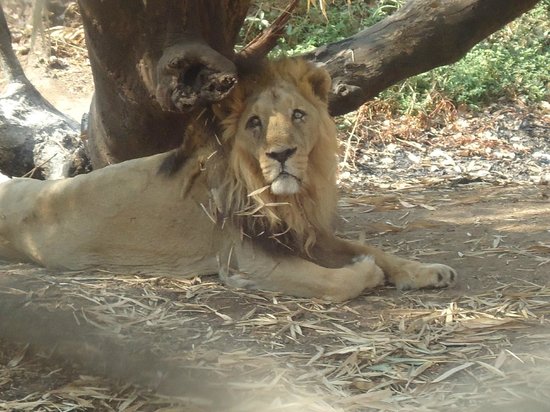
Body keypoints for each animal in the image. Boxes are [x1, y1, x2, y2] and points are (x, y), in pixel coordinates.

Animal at [0, 58, 458, 300]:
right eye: (255, 123)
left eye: (298, 115)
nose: (281, 154)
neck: (290, 197)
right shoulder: (255, 258)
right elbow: (339, 281)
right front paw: (367, 273)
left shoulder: (306, 234)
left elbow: (375, 250)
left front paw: (428, 271)